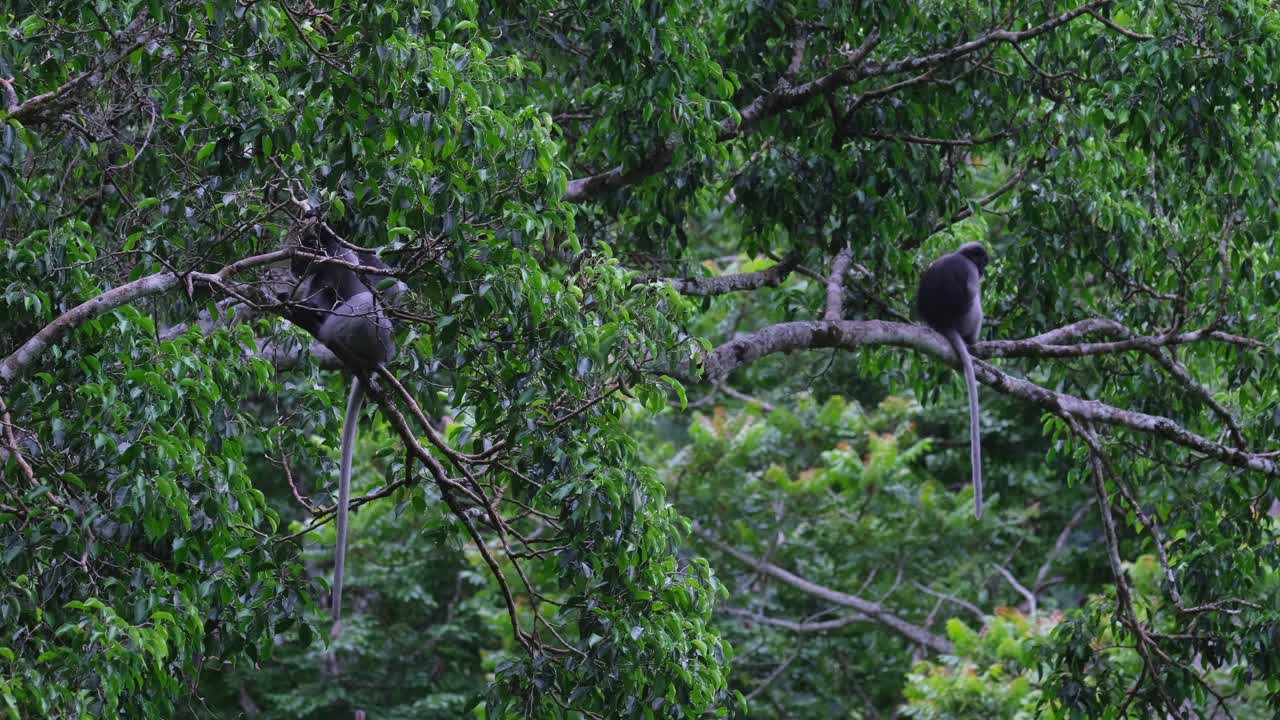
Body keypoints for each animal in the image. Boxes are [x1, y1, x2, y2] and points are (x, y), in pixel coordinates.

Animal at [282, 227, 405, 637]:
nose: (296, 265)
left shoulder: (341, 259)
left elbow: (378, 281)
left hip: (366, 333)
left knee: (368, 303)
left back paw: (319, 323)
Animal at [915, 242, 990, 518]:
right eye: (981, 262)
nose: (983, 270)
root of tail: (944, 323)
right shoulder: (969, 270)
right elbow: (972, 293)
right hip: (965, 320)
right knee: (975, 302)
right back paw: (972, 341)